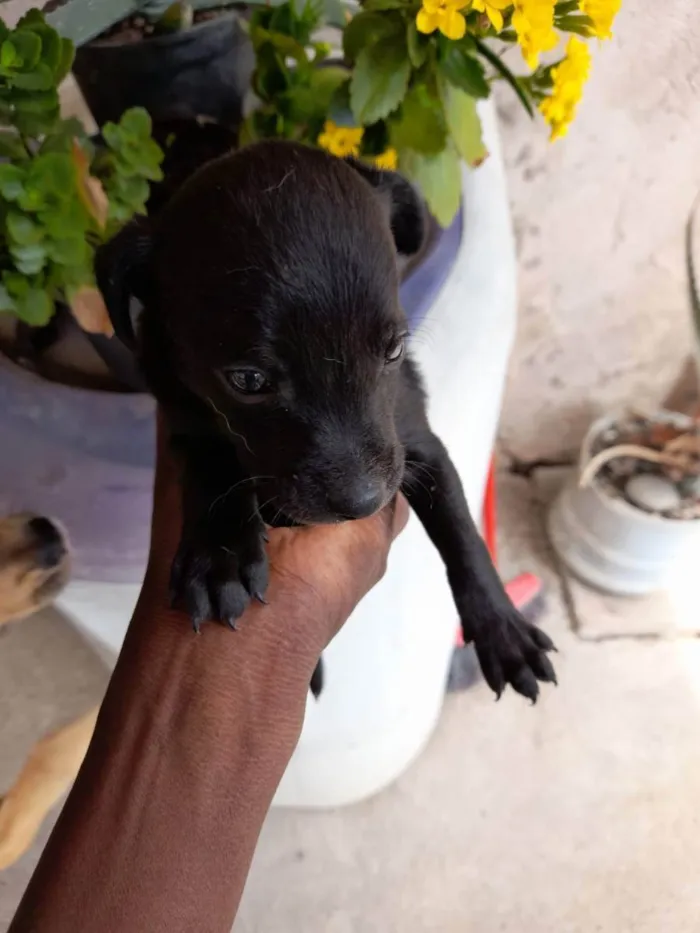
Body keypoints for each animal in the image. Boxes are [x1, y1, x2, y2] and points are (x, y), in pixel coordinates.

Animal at [100, 140, 556, 700]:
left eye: (394, 349)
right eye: (247, 380)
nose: (362, 502)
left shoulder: (414, 441)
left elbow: (461, 531)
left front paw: (503, 631)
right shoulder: (184, 417)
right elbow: (213, 467)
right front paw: (219, 558)